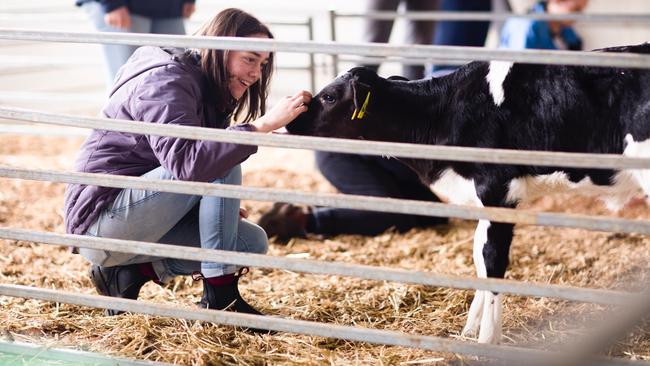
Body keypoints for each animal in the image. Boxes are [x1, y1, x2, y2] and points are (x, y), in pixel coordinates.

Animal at [288, 43, 648, 344]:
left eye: (330, 97)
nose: (292, 121)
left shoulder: (498, 192)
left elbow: (492, 261)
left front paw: (487, 341)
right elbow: (478, 259)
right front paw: (469, 330)